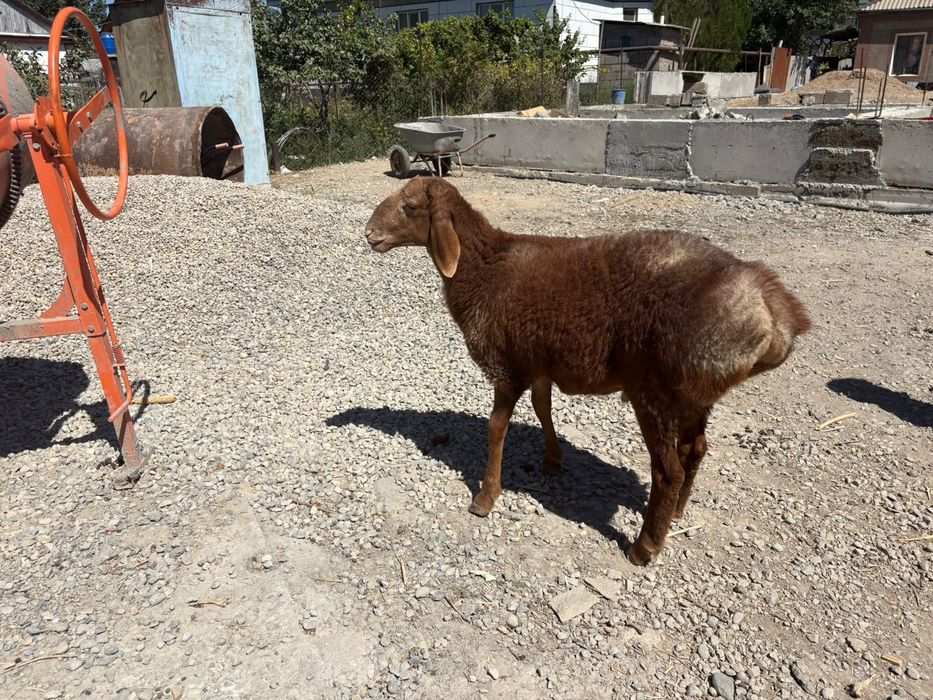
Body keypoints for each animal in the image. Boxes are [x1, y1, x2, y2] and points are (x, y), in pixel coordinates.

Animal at [365, 177, 810, 565]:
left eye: (410, 206)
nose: (369, 234)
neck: (484, 268)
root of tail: (772, 314)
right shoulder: (539, 362)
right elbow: (543, 409)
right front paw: (553, 461)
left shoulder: (506, 367)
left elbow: (496, 428)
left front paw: (485, 498)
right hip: (693, 393)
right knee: (695, 450)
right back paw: (677, 515)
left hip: (654, 391)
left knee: (668, 469)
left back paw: (645, 546)